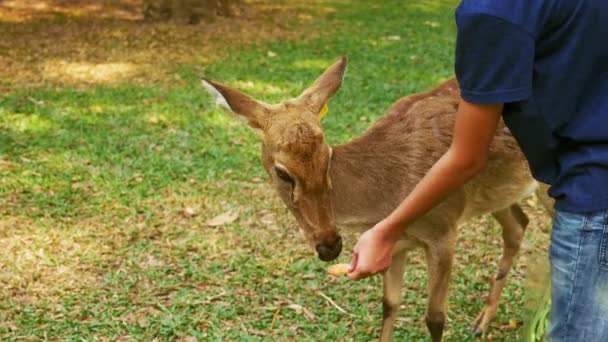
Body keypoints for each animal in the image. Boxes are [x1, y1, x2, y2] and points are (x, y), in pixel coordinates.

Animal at [203, 57, 536, 340]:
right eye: (283, 172)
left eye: (328, 157)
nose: (329, 246)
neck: (388, 200)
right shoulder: (396, 245)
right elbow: (389, 304)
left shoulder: (444, 229)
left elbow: (435, 318)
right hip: (495, 195)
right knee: (518, 224)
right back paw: (481, 323)